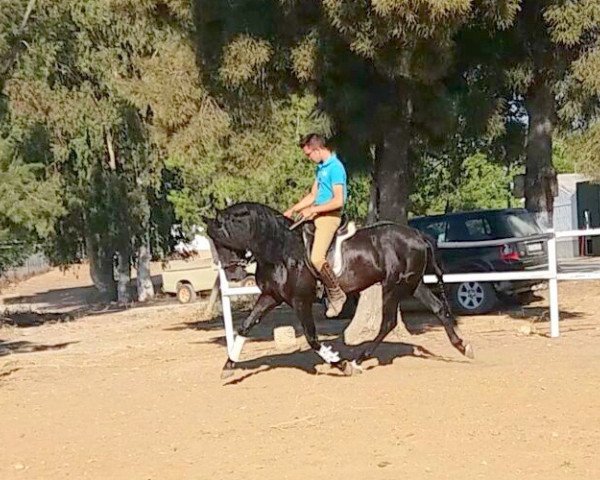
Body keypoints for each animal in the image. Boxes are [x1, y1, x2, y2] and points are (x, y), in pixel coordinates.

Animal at [206, 201, 474, 376]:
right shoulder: (271, 296)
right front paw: (228, 366)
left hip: (393, 287)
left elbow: (312, 338)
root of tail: (418, 235)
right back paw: (463, 347)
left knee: (388, 323)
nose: (232, 273)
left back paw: (358, 361)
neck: (281, 250)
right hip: (413, 285)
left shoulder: (301, 300)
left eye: (220, 238)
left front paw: (340, 364)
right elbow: (245, 326)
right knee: (439, 309)